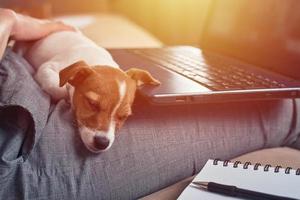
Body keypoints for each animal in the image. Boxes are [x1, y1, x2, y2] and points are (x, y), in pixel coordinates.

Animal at [22, 30, 161, 153]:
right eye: (92, 104)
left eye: (123, 116)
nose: (102, 143)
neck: (96, 59)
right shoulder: (47, 67)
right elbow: (58, 89)